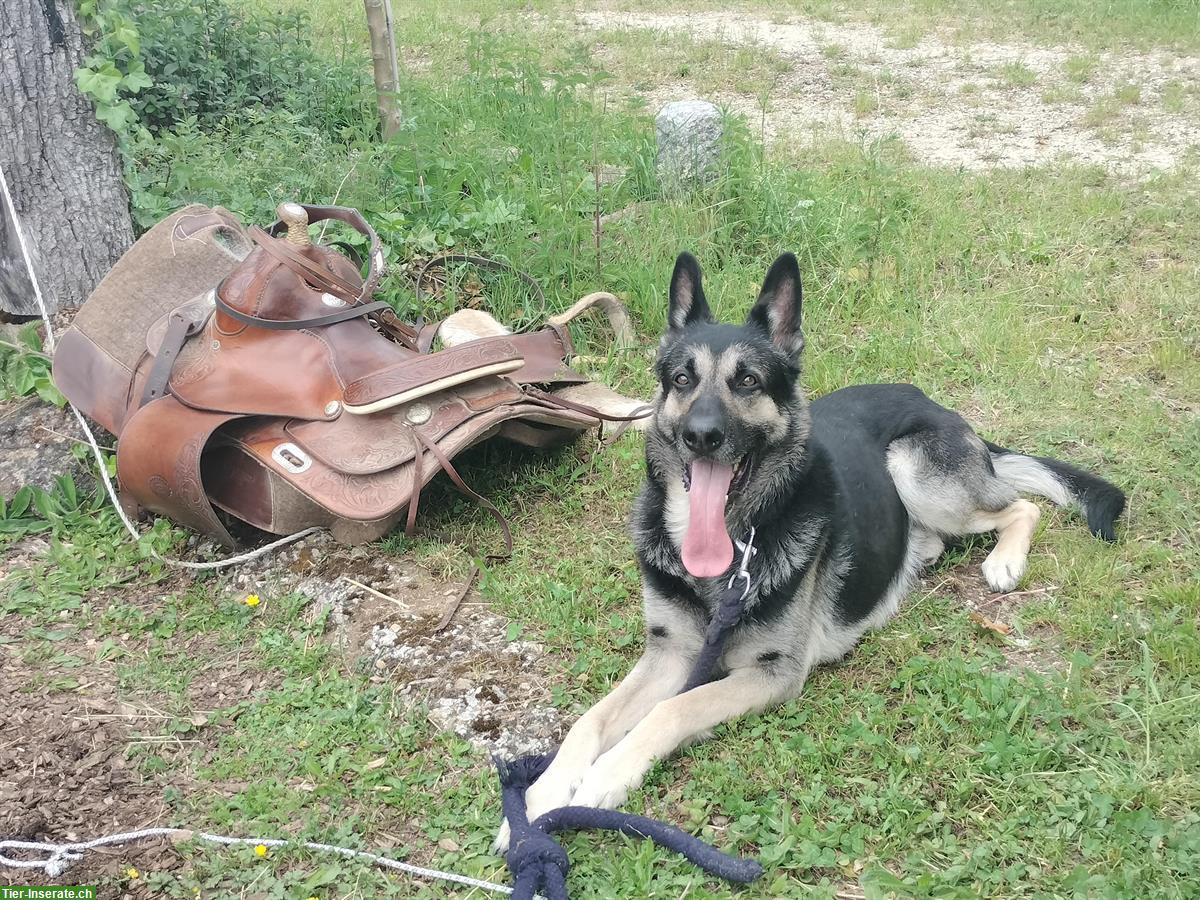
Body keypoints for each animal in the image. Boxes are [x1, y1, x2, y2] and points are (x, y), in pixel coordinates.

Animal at [492, 252, 1118, 844]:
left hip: (913, 469)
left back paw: (1003, 560)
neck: (729, 551)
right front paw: (541, 795)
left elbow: (673, 709)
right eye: (681, 379)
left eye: (747, 381)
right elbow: (588, 720)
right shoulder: (668, 654)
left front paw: (604, 775)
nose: (700, 435)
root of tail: (933, 402)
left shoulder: (771, 674)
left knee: (1021, 506)